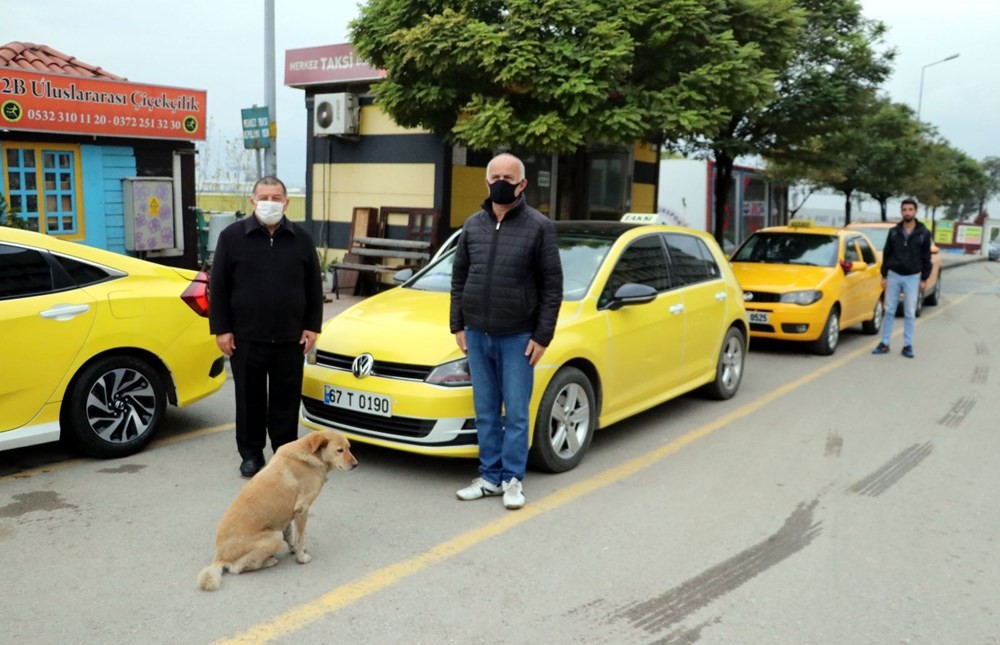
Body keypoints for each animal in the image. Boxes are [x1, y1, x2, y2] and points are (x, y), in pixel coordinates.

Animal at [197, 430, 358, 592]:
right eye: (340, 450)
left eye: (349, 448)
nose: (356, 465)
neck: (311, 455)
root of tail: (220, 557)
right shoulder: (302, 510)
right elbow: (300, 538)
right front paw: (300, 558)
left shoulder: (288, 515)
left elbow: (290, 535)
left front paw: (294, 550)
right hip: (275, 537)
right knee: (237, 568)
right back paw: (269, 562)